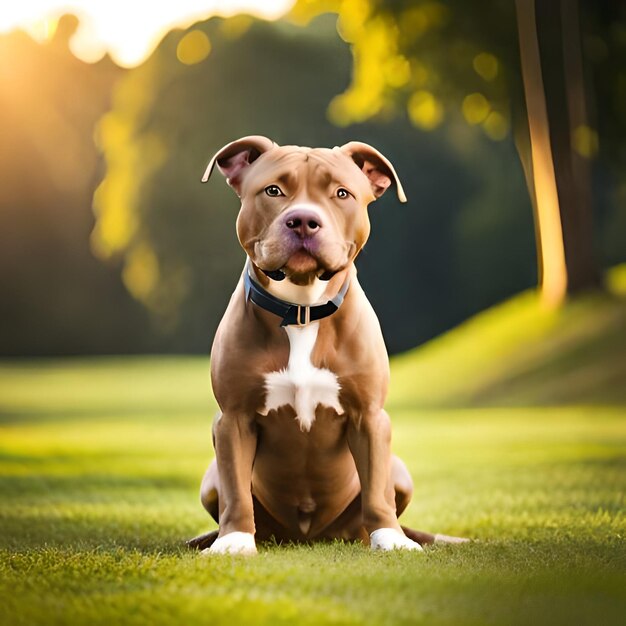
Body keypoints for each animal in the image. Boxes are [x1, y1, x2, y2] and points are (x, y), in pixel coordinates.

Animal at [186, 135, 464, 552]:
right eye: (273, 190)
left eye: (341, 193)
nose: (303, 219)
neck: (303, 308)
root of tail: (309, 537)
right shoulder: (233, 419)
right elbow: (236, 489)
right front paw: (234, 540)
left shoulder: (370, 418)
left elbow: (376, 490)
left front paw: (391, 539)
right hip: (210, 479)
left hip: (399, 471)